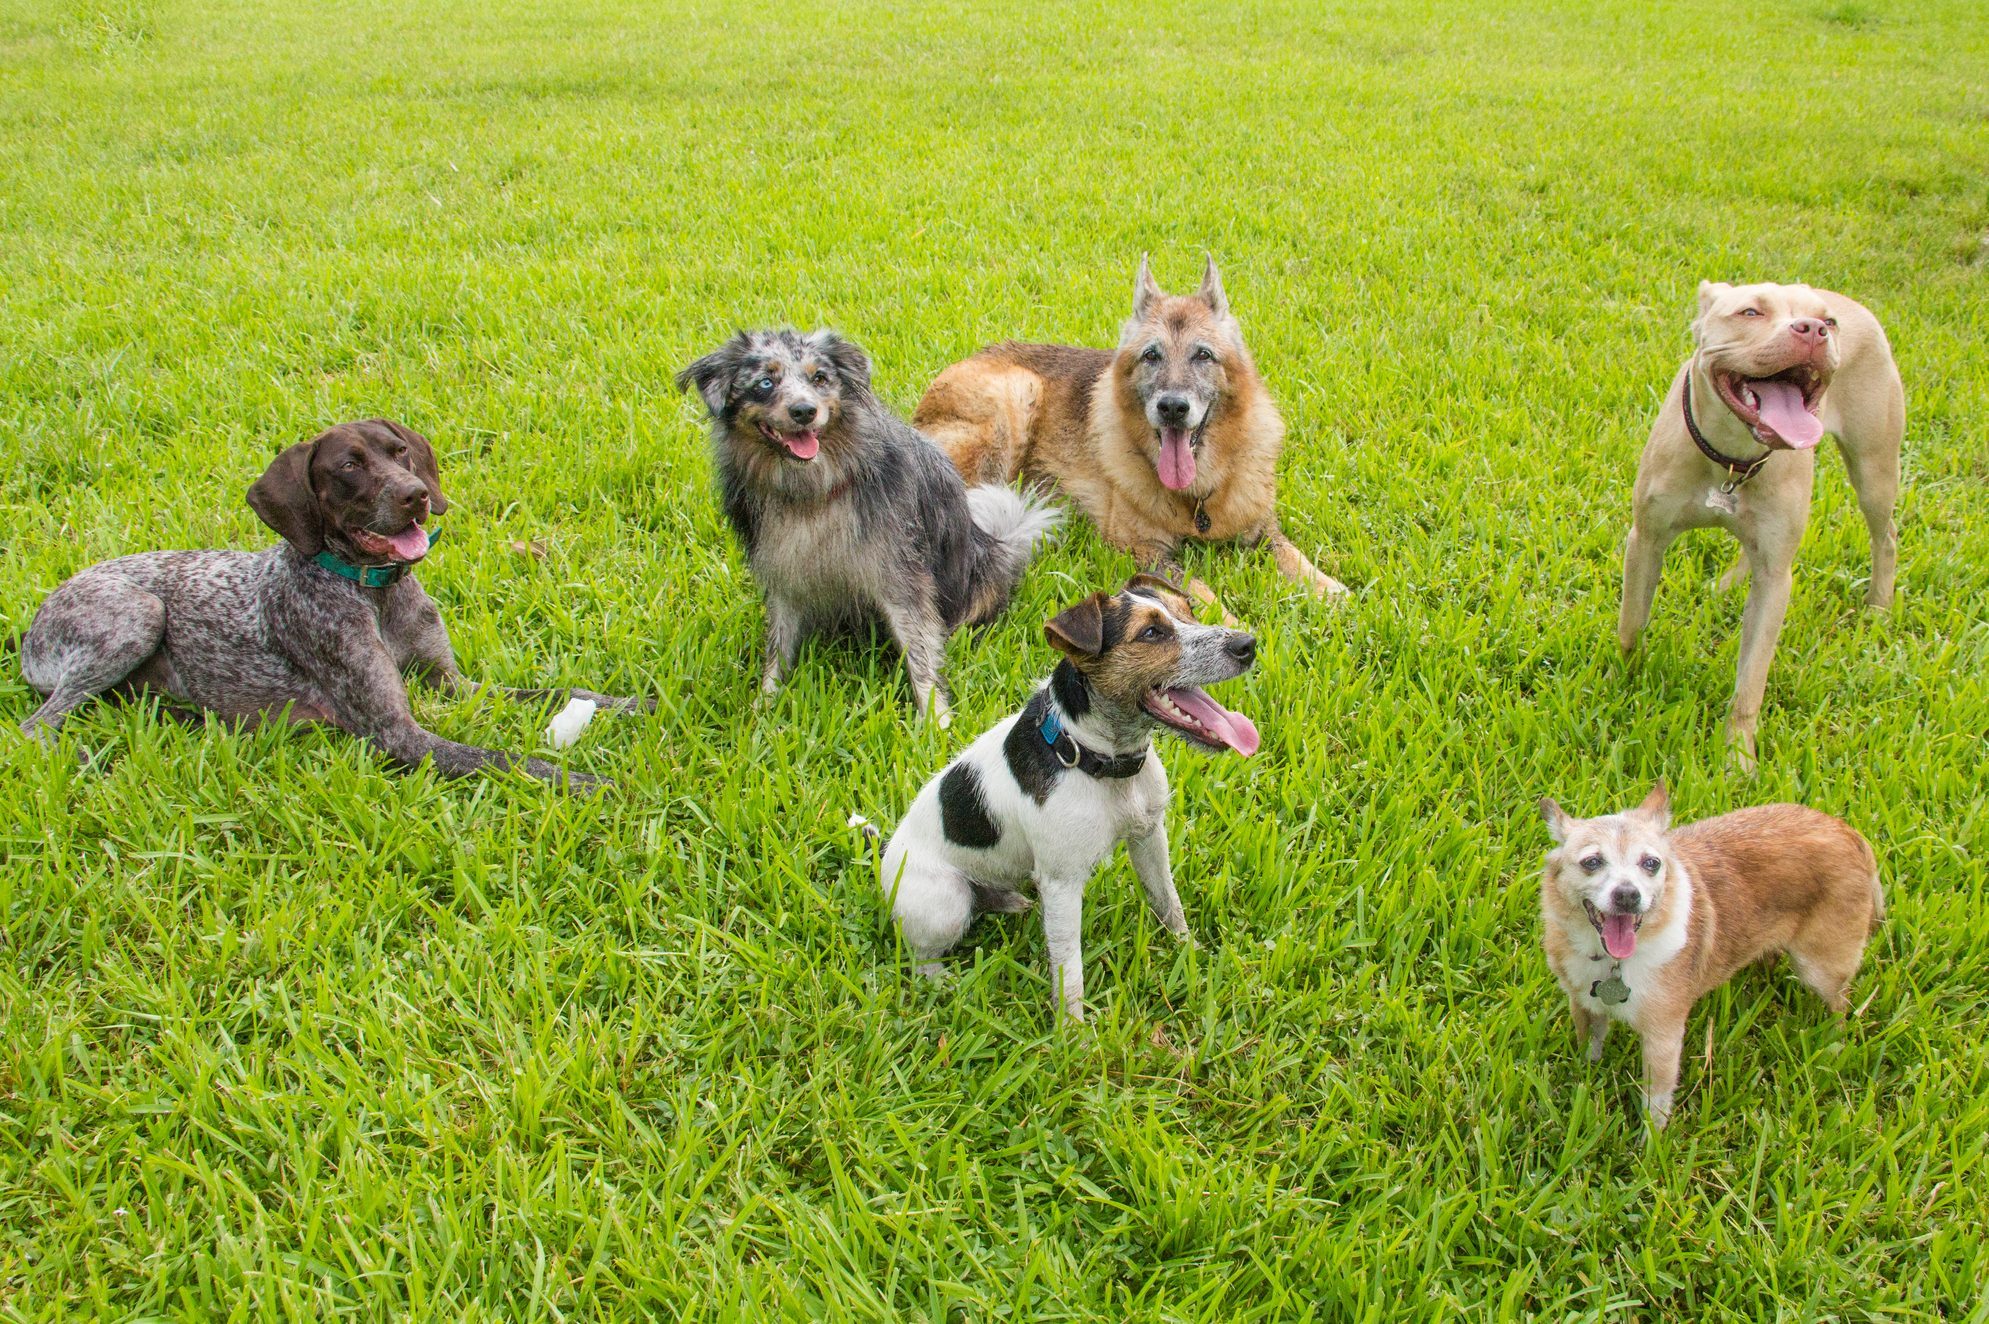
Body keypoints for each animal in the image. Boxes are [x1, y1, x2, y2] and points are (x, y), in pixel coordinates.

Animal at [19, 417, 640, 783]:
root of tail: (29, 630)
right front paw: (594, 784)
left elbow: (562, 691)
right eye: (348, 466)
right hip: (139, 615)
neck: (376, 592)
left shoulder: (452, 684)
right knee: (36, 725)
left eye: (400, 452)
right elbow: (507, 759)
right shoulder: (397, 735)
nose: (417, 495)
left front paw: (638, 703)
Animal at [680, 328, 1058, 723]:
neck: (813, 493)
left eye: (820, 378)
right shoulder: (783, 575)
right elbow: (778, 644)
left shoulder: (902, 578)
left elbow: (920, 650)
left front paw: (934, 718)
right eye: (765, 383)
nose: (804, 412)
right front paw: (766, 702)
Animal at [879, 572, 1249, 1013]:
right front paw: (1072, 1027)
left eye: (1189, 611)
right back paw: (945, 982)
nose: (1248, 644)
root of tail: (884, 852)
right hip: (945, 901)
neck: (1097, 759)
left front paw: (1187, 949)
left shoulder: (1149, 838)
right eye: (1151, 633)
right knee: (921, 957)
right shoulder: (1062, 884)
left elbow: (1168, 901)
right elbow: (1068, 967)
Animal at [1535, 779, 1877, 1129]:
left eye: (1651, 864)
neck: (1612, 961)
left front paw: (1652, 1141)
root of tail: (1847, 832)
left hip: (1819, 969)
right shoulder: (1585, 1006)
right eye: (1591, 862)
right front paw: (1585, 1079)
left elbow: (1656, 1102)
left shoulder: (1664, 1037)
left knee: (1841, 1003)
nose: (1628, 895)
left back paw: (1834, 1040)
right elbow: (1588, 1049)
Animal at [1615, 284, 1909, 767]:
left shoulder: (1776, 580)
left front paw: (1738, 757)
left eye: (1828, 323)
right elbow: (1631, 623)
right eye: (1750, 312)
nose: (1813, 329)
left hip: (1874, 467)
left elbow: (1751, 679)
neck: (1731, 458)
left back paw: (1879, 608)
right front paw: (1624, 680)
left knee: (1884, 536)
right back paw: (1728, 584)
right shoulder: (1647, 538)